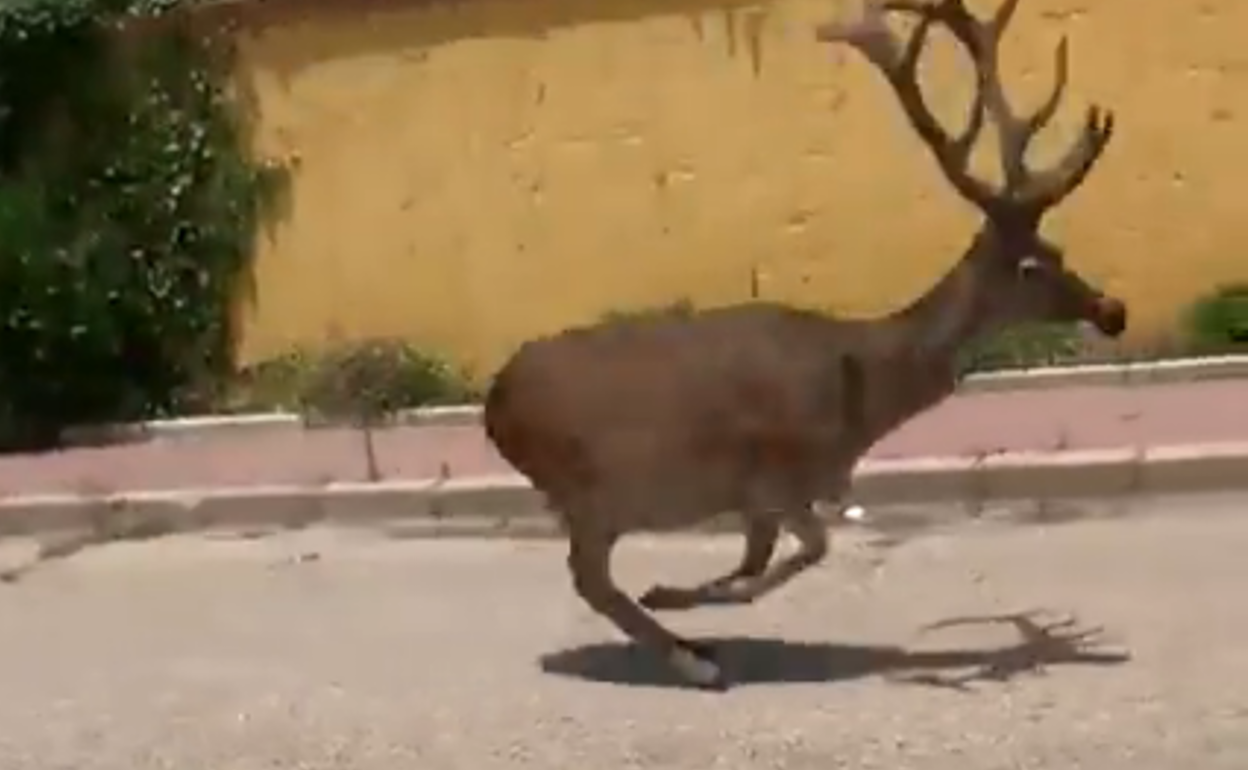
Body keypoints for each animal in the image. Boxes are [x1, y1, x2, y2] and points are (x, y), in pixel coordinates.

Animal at [483, 0, 1125, 690]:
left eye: (1058, 247)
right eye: (1031, 266)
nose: (1112, 311)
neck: (862, 393)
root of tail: (494, 405)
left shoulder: (760, 497)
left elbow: (755, 560)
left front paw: (683, 593)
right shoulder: (778, 475)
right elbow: (811, 550)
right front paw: (703, 600)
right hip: (591, 488)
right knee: (588, 577)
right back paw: (693, 663)